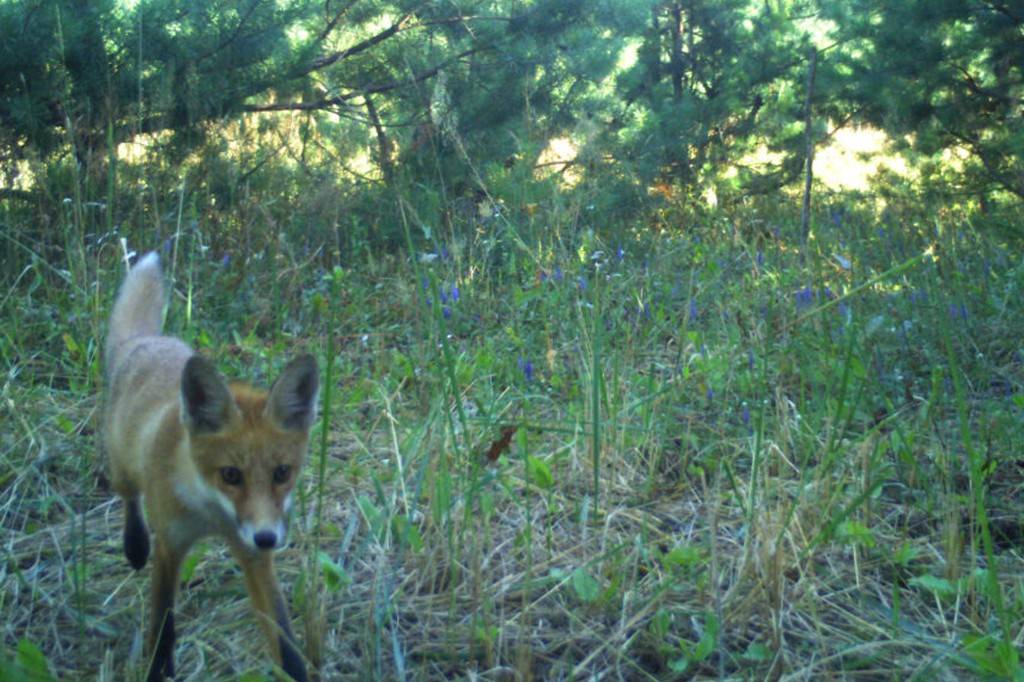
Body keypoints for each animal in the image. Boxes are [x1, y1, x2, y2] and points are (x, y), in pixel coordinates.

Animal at [103, 252, 318, 682]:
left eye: (282, 473)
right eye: (230, 475)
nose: (268, 538)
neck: (209, 514)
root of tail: (144, 341)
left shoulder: (253, 556)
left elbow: (285, 642)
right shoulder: (170, 546)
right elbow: (163, 626)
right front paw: (158, 669)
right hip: (121, 467)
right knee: (129, 497)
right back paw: (134, 545)